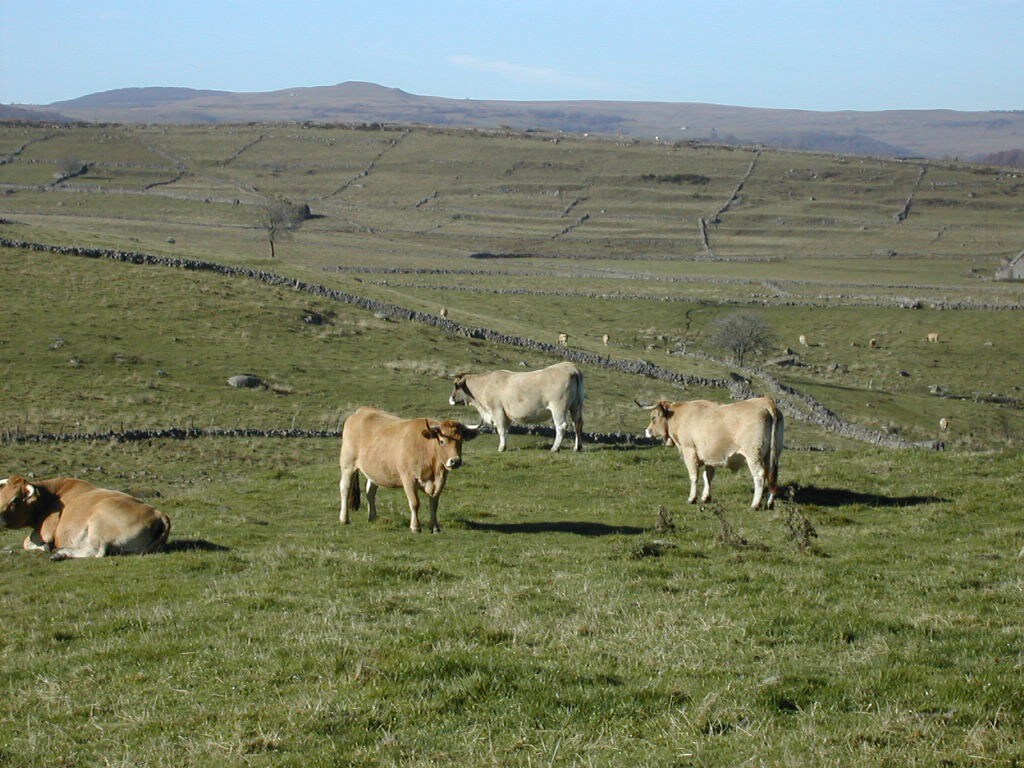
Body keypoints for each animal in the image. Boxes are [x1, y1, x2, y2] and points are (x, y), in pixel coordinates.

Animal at [0, 475, 172, 561]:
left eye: (16, 499)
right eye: (1, 495)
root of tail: (158, 513)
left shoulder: (43, 532)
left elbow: (27, 541)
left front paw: (45, 547)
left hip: (98, 520)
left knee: (97, 552)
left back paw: (61, 552)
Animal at [337, 409, 477, 536]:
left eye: (461, 441)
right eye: (442, 441)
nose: (455, 461)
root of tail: (360, 411)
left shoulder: (440, 481)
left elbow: (434, 504)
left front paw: (435, 528)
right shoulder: (408, 478)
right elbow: (415, 503)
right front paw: (415, 527)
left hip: (373, 471)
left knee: (370, 492)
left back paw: (373, 517)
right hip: (348, 464)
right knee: (345, 488)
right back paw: (344, 519)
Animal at [448, 360, 585, 450]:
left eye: (456, 385)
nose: (451, 399)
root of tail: (570, 367)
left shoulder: (497, 410)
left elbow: (501, 429)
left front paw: (501, 448)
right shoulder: (507, 414)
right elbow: (506, 430)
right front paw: (504, 445)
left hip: (558, 407)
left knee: (561, 426)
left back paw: (555, 448)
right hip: (576, 406)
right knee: (577, 424)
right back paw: (577, 447)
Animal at [638, 397, 782, 512]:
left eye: (653, 417)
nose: (647, 431)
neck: (679, 416)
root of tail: (766, 401)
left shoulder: (689, 450)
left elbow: (694, 475)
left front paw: (692, 498)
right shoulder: (711, 455)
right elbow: (707, 476)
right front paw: (706, 497)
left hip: (753, 455)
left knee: (759, 476)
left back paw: (755, 504)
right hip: (772, 455)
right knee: (772, 476)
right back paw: (769, 503)